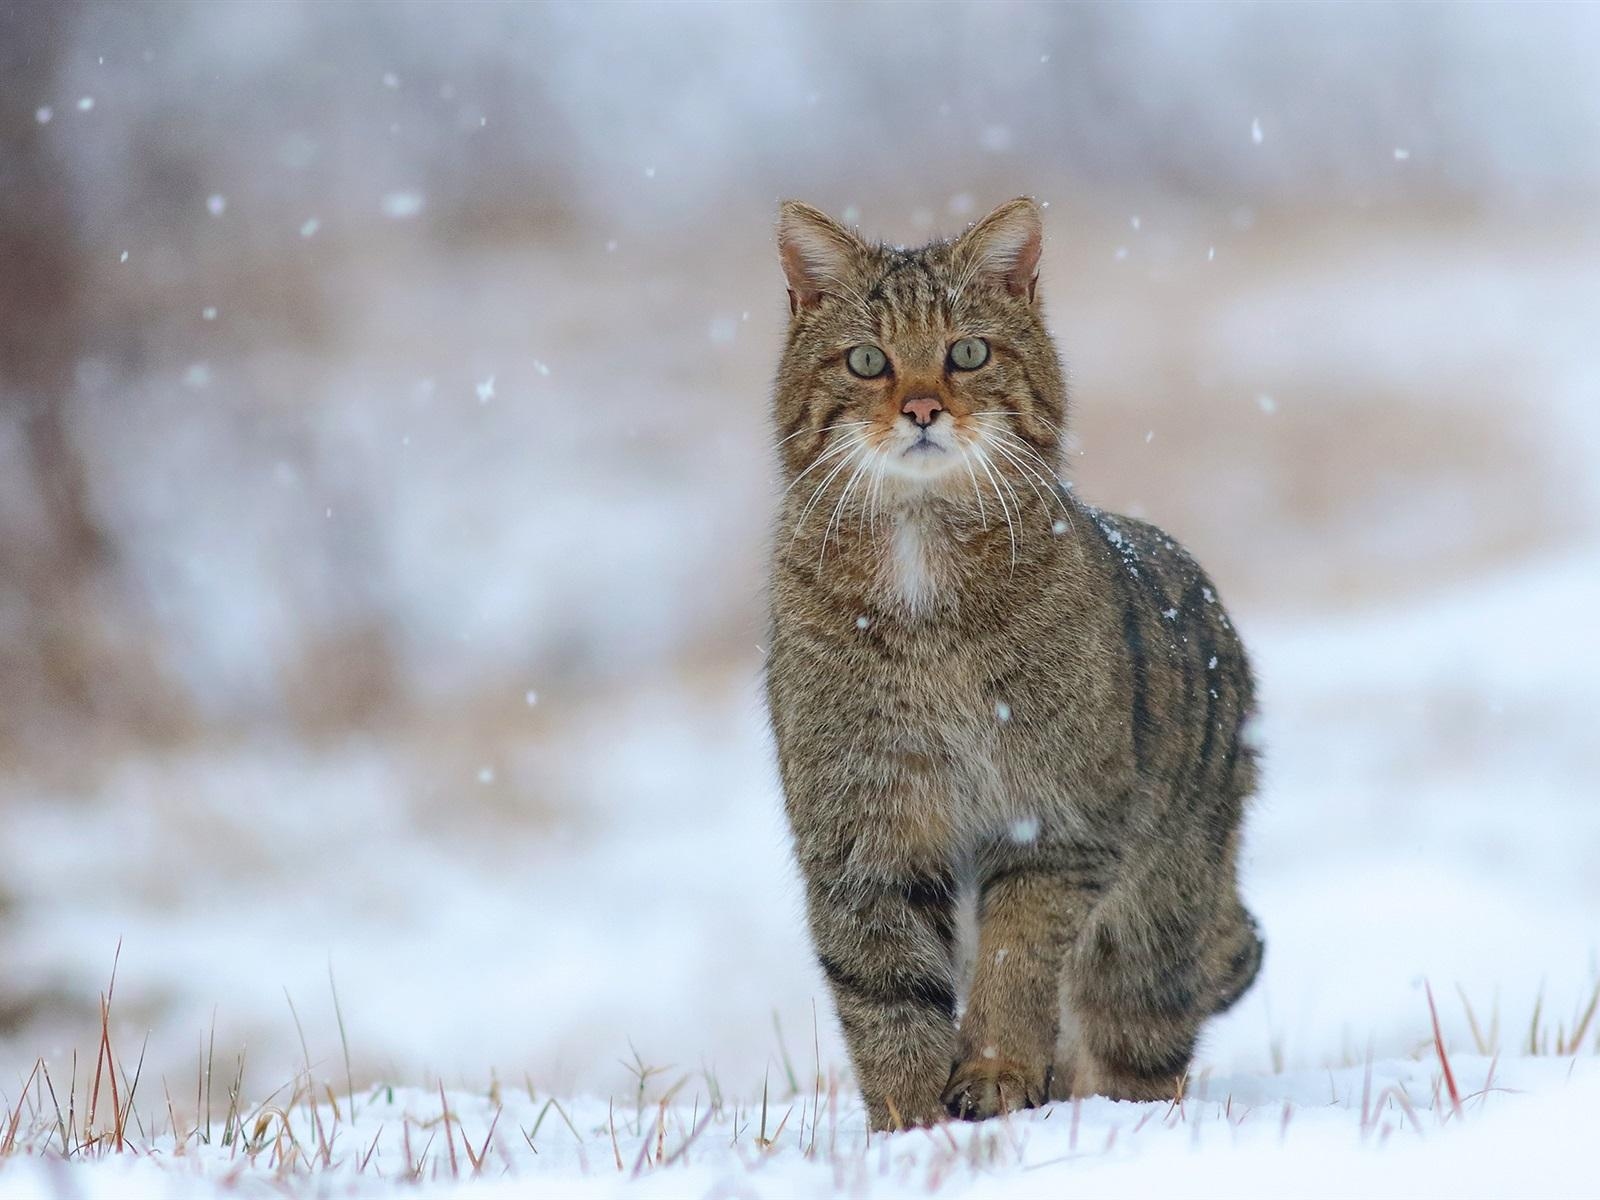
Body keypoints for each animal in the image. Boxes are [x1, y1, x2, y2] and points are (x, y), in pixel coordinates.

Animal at [761, 195, 1260, 1126]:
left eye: (967, 351)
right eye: (868, 360)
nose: (922, 408)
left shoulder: (1054, 822)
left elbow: (1015, 961)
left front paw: (992, 1073)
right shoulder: (861, 830)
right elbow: (886, 994)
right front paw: (912, 1123)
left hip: (1151, 934)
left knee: (1132, 1048)